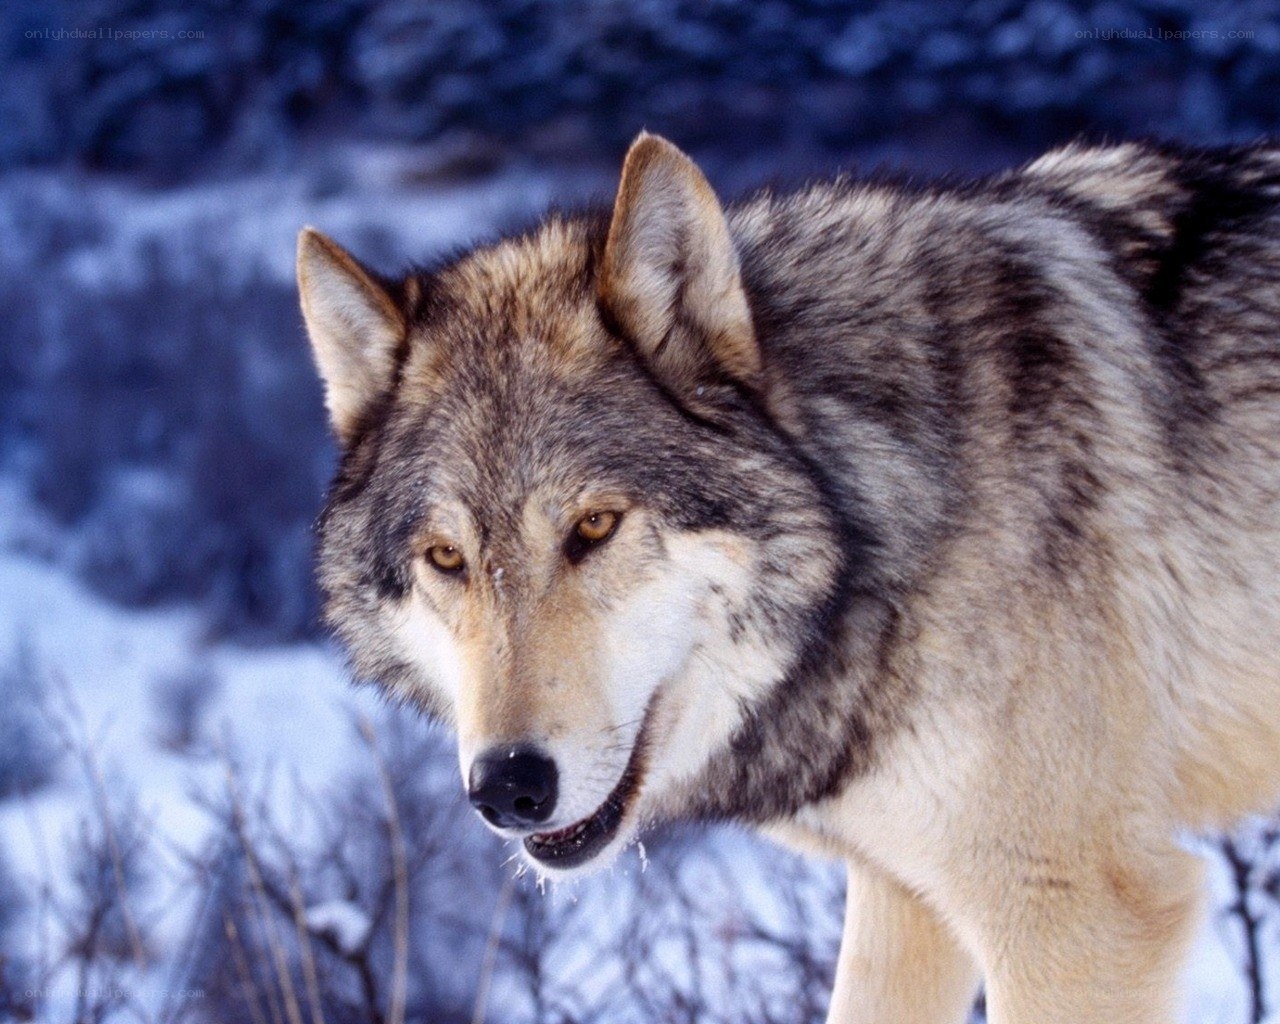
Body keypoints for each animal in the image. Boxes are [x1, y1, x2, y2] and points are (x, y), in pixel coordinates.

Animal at [298, 133, 1280, 1023]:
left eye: (594, 526)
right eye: (447, 558)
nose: (506, 787)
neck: (883, 515)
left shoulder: (1075, 915)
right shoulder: (906, 898)